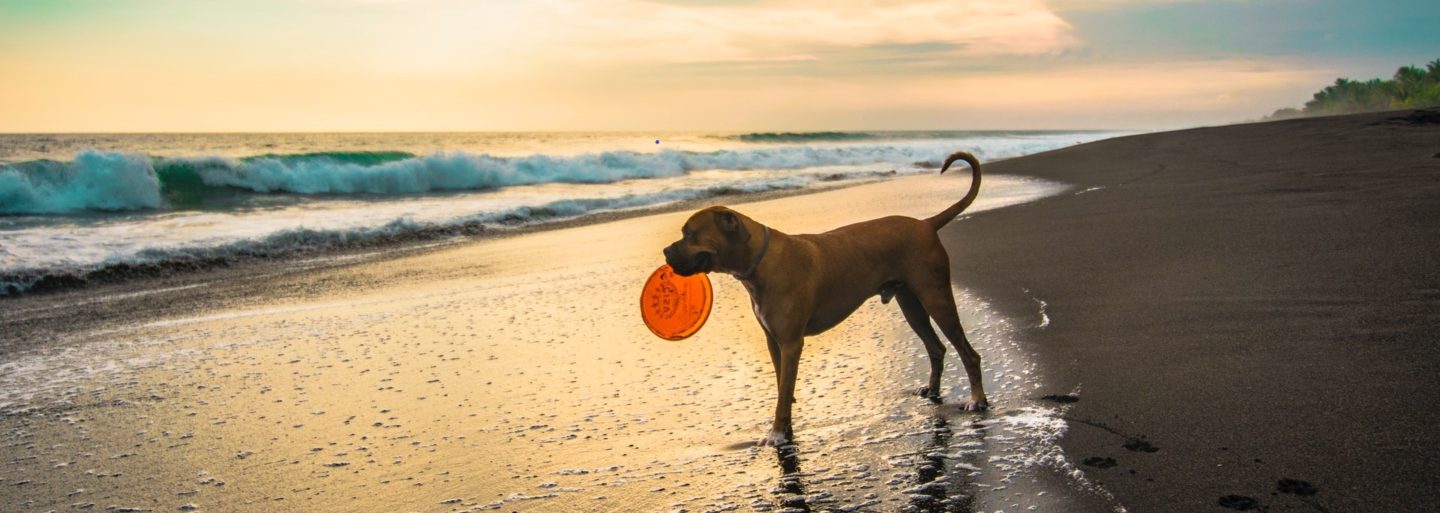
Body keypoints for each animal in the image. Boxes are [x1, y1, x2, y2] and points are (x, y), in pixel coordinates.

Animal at [662, 151, 990, 443]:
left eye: (690, 234)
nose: (665, 251)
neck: (760, 261)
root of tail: (925, 223)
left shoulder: (791, 343)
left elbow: (784, 390)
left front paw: (777, 433)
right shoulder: (774, 342)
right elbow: (783, 386)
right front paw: (786, 424)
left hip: (936, 297)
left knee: (968, 353)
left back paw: (977, 400)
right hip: (911, 304)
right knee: (936, 347)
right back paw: (933, 390)